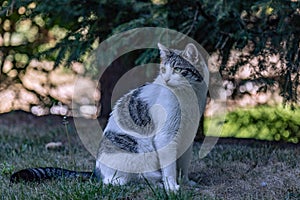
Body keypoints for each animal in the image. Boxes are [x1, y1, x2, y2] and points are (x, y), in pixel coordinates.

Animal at [11, 43, 209, 191]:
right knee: (116, 181)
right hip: (139, 152)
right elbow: (170, 166)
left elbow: (183, 163)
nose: (167, 79)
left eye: (177, 69)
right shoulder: (166, 136)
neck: (189, 97)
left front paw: (185, 182)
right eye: (163, 69)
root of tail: (96, 170)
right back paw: (151, 182)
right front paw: (171, 186)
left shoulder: (187, 135)